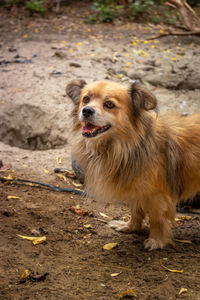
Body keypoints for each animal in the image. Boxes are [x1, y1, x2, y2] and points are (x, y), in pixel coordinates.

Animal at [66, 79, 200, 251]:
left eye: (109, 104)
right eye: (86, 99)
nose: (86, 110)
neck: (125, 144)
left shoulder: (157, 196)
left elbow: (156, 219)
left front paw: (156, 241)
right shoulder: (135, 188)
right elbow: (136, 210)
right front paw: (130, 227)